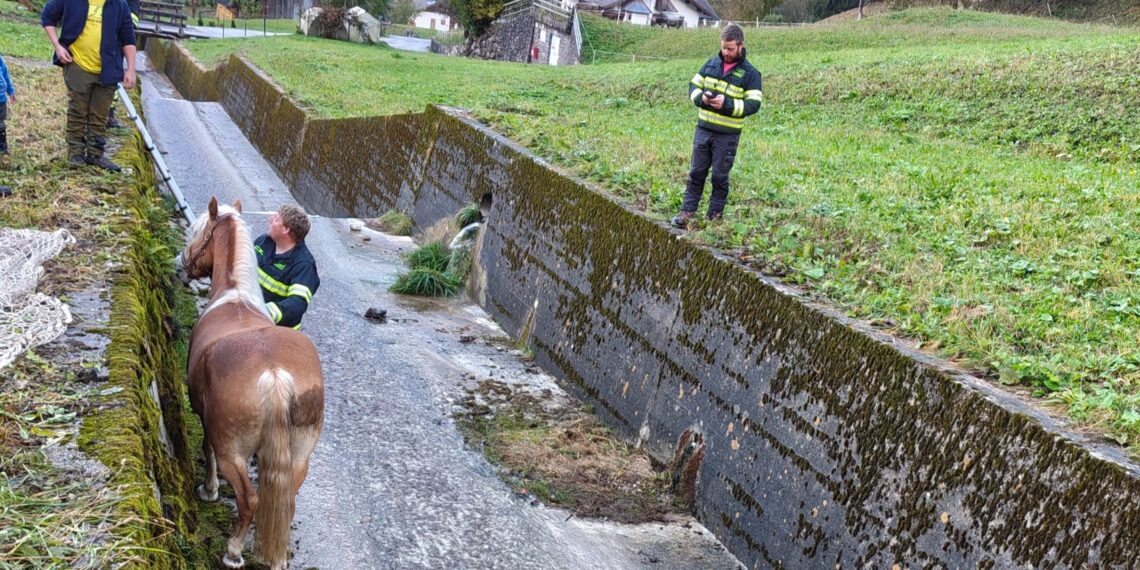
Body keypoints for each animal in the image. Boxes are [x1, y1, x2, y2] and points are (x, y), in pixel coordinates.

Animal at [176, 197, 324, 570]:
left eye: (198, 233)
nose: (182, 265)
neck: (236, 296)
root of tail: (274, 374)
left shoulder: (208, 423)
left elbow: (207, 451)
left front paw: (210, 490)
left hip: (233, 453)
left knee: (249, 500)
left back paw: (233, 551)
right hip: (299, 458)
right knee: (285, 503)